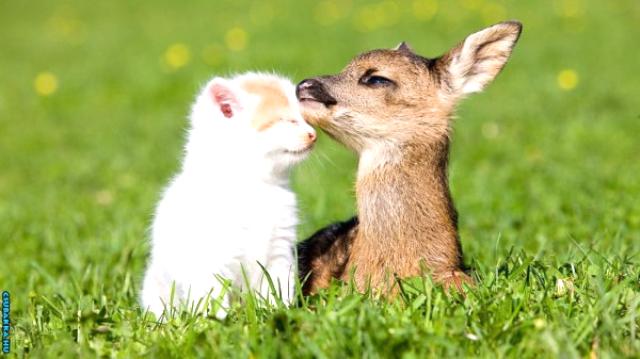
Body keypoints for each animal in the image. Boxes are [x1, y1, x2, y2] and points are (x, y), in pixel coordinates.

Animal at [142, 71, 318, 320]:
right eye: (287, 121)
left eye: (305, 119)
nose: (313, 134)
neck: (256, 187)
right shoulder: (209, 259)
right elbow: (211, 298)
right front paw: (217, 322)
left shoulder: (279, 252)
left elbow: (276, 288)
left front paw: (276, 313)